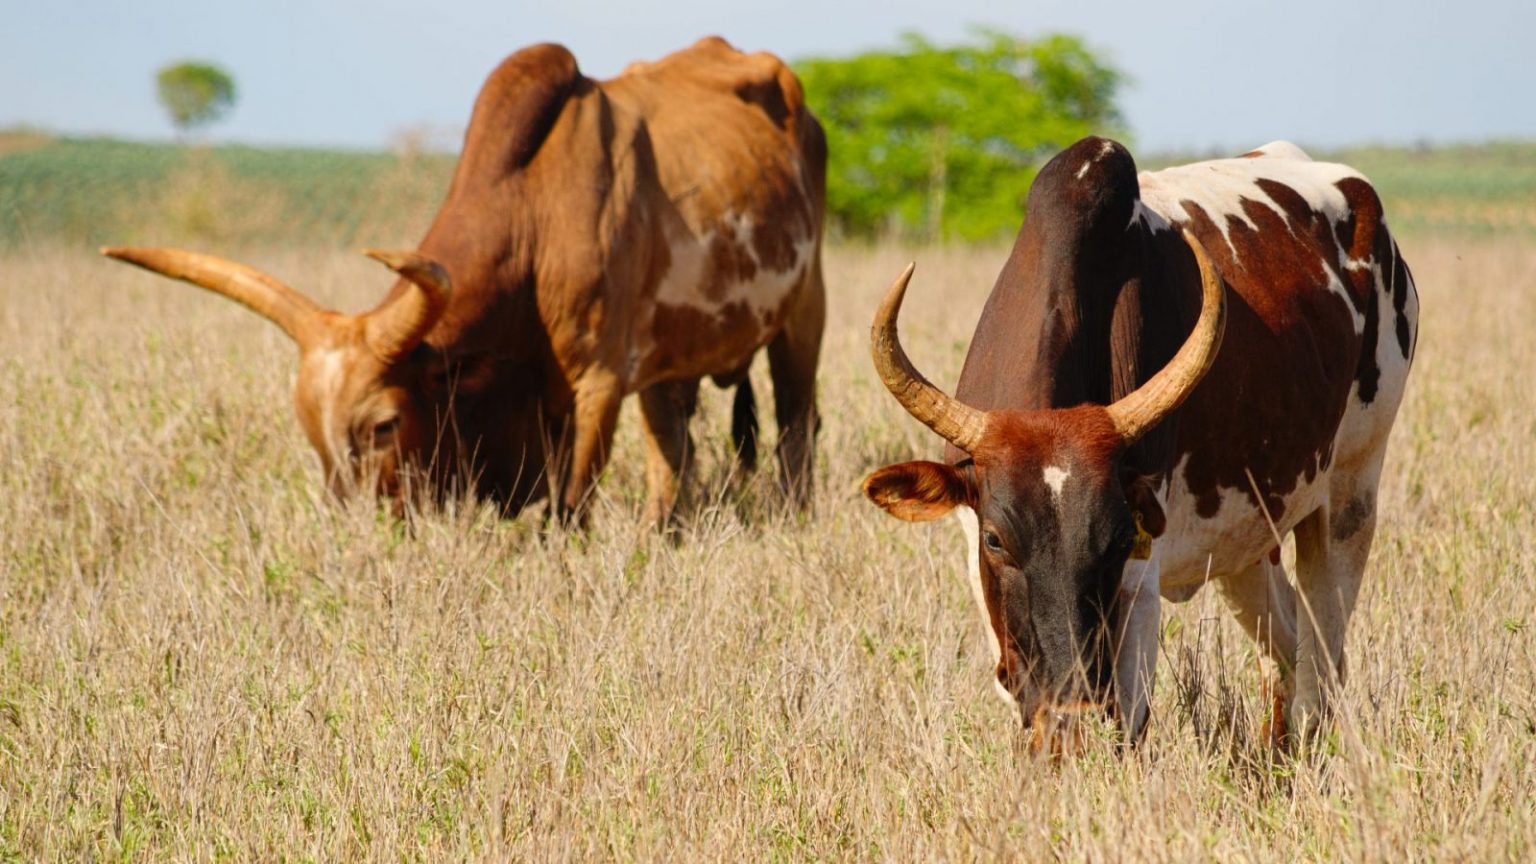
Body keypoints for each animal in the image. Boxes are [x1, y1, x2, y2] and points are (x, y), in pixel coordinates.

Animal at [105, 38, 829, 525]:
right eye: (311, 428)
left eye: (384, 425)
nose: (352, 527)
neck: (532, 212)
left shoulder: (598, 383)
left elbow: (567, 514)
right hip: (669, 360)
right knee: (673, 452)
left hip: (803, 315)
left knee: (796, 430)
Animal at [866, 134, 1413, 747]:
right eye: (995, 541)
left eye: (1118, 538)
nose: (1073, 706)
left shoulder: (1140, 584)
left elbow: (1130, 724)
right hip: (1251, 541)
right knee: (1288, 648)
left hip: (1351, 496)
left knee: (1323, 664)